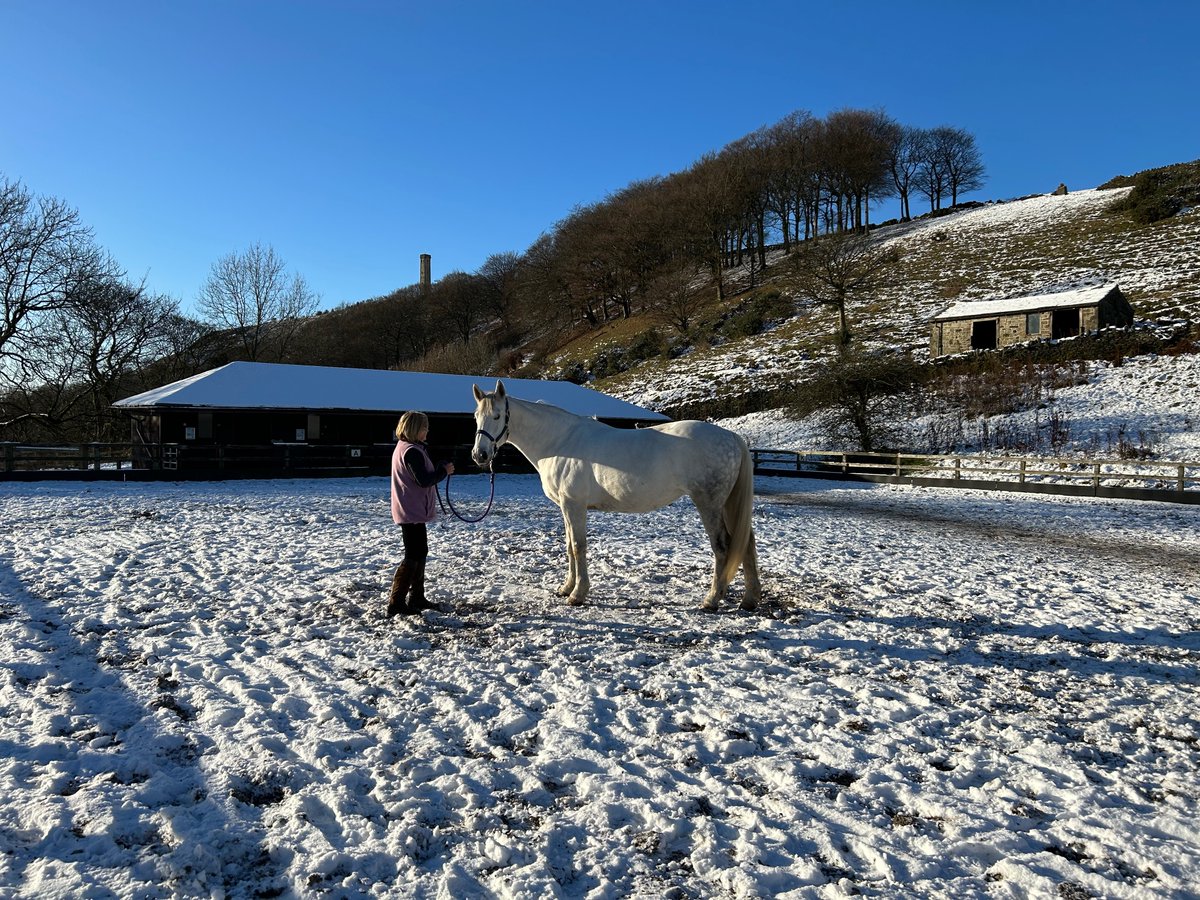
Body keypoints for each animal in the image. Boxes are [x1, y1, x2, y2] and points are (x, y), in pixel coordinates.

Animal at [468, 381, 758, 614]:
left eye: (497, 416)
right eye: (475, 417)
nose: (480, 455)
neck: (560, 441)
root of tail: (732, 437)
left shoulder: (574, 505)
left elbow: (578, 547)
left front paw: (578, 595)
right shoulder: (566, 506)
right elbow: (569, 545)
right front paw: (566, 588)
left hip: (709, 503)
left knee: (722, 547)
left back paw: (711, 600)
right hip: (727, 504)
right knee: (745, 542)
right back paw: (749, 600)